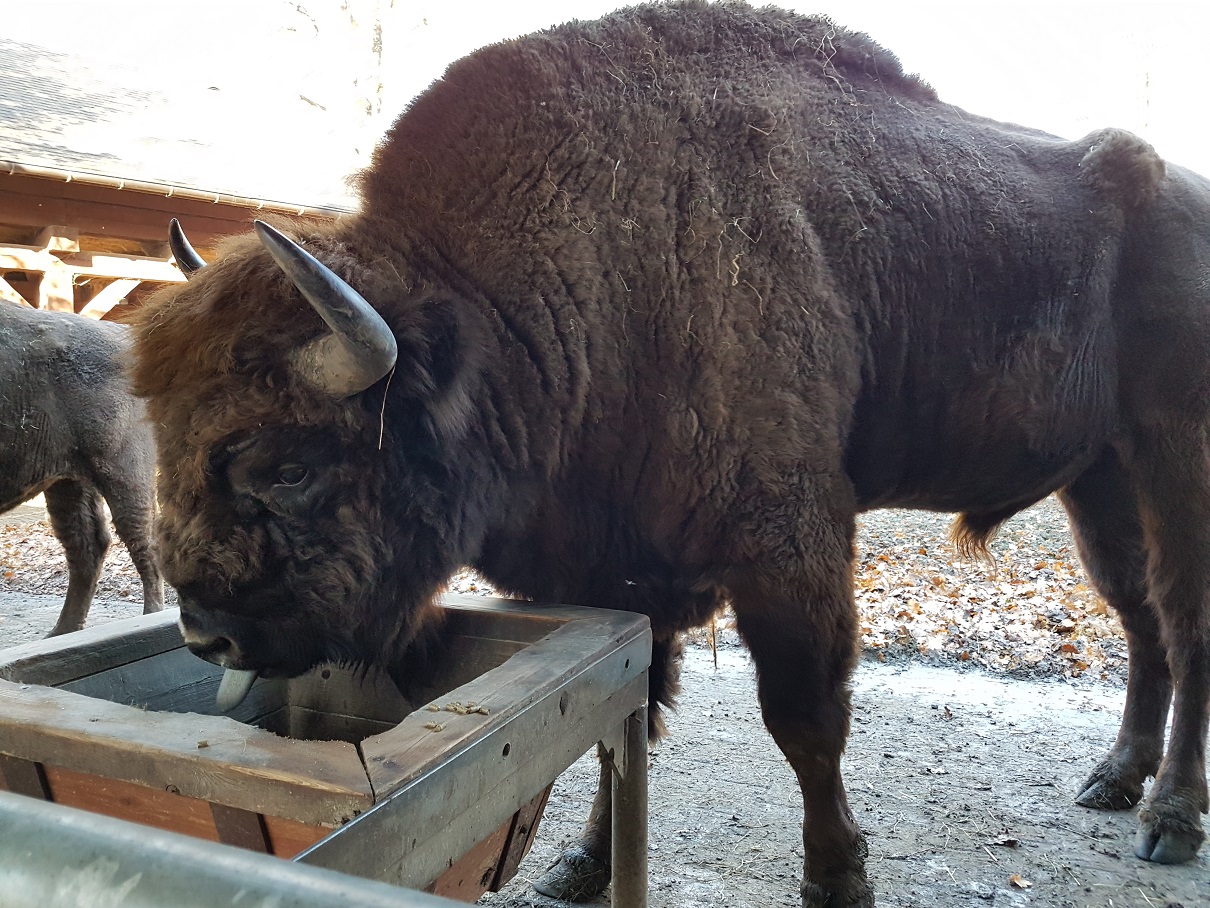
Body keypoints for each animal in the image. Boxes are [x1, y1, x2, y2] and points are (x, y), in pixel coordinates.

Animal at [1, 302, 164, 634]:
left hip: (122, 471)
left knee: (144, 541)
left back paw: (148, 617)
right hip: (66, 481)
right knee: (86, 546)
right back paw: (61, 632)